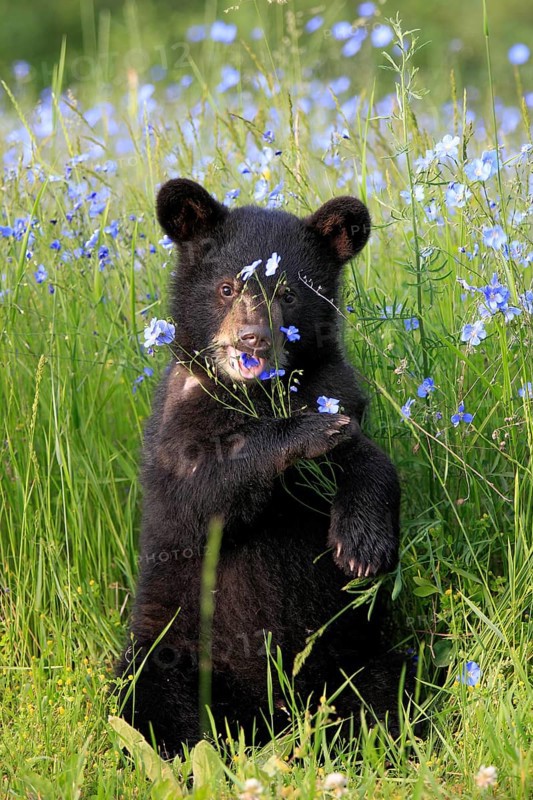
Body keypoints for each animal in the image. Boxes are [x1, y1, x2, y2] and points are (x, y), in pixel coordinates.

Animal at [116, 178, 403, 758]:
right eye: (227, 288)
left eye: (289, 293)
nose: (254, 339)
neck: (256, 397)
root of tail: (265, 722)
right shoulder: (176, 427)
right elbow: (197, 495)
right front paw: (303, 433)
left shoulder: (337, 393)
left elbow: (370, 459)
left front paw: (361, 545)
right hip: (169, 647)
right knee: (149, 702)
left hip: (358, 655)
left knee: (386, 695)